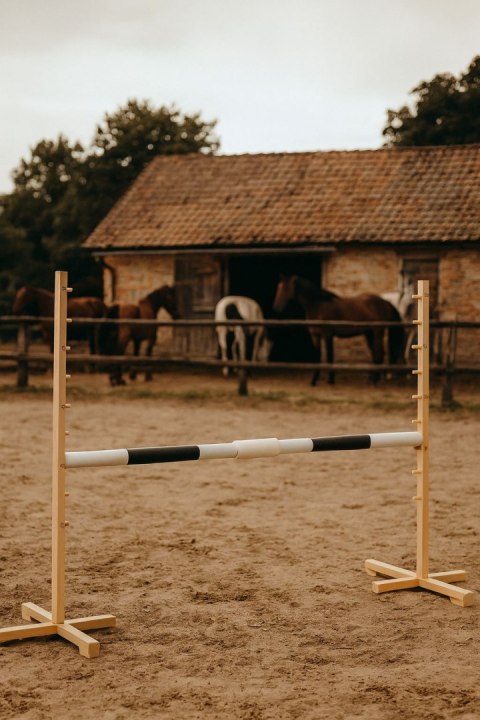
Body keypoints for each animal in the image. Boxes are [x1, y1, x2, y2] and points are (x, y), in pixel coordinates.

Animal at [272, 275, 405, 385]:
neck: (317, 306)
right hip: (369, 333)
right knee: (376, 353)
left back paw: (375, 380)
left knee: (378, 353)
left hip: (377, 332)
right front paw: (314, 380)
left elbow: (329, 357)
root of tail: (385, 302)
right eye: (278, 288)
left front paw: (331, 380)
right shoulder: (315, 336)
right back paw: (372, 378)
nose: (276, 308)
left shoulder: (327, 335)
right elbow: (317, 357)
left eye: (284, 289)